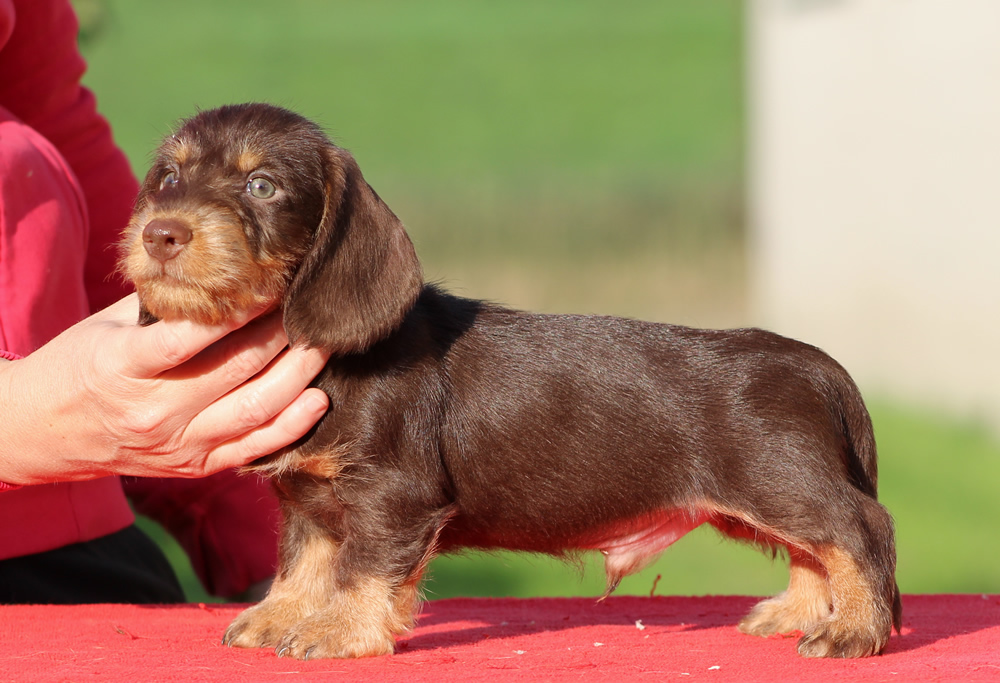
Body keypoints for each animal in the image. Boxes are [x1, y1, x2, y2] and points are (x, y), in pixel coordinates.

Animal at [121, 101, 904, 656]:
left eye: (262, 185)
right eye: (167, 177)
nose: (161, 233)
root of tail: (816, 364)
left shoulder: (392, 494)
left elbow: (362, 566)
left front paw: (339, 631)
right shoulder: (308, 499)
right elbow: (302, 562)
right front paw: (277, 616)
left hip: (779, 480)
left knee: (858, 528)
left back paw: (854, 629)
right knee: (813, 551)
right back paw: (797, 613)